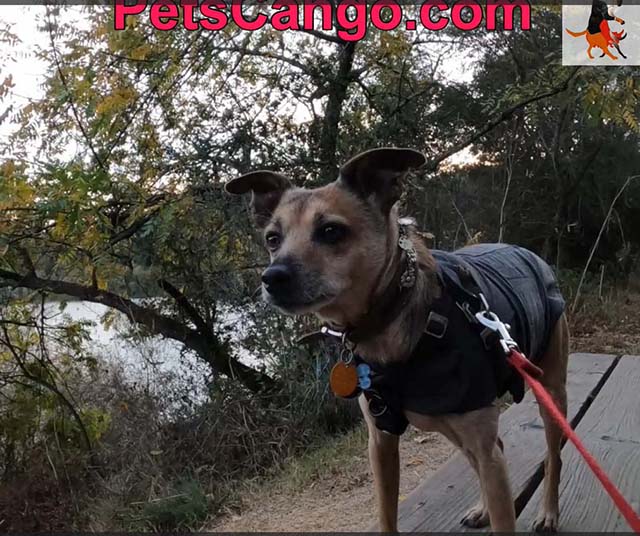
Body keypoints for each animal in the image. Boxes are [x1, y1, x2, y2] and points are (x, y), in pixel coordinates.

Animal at [226, 148, 568, 532]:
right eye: (272, 238)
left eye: (330, 231)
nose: (272, 277)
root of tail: (526, 251)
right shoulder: (381, 442)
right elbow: (387, 513)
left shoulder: (482, 446)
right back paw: (483, 508)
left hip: (550, 392)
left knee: (553, 456)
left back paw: (548, 512)